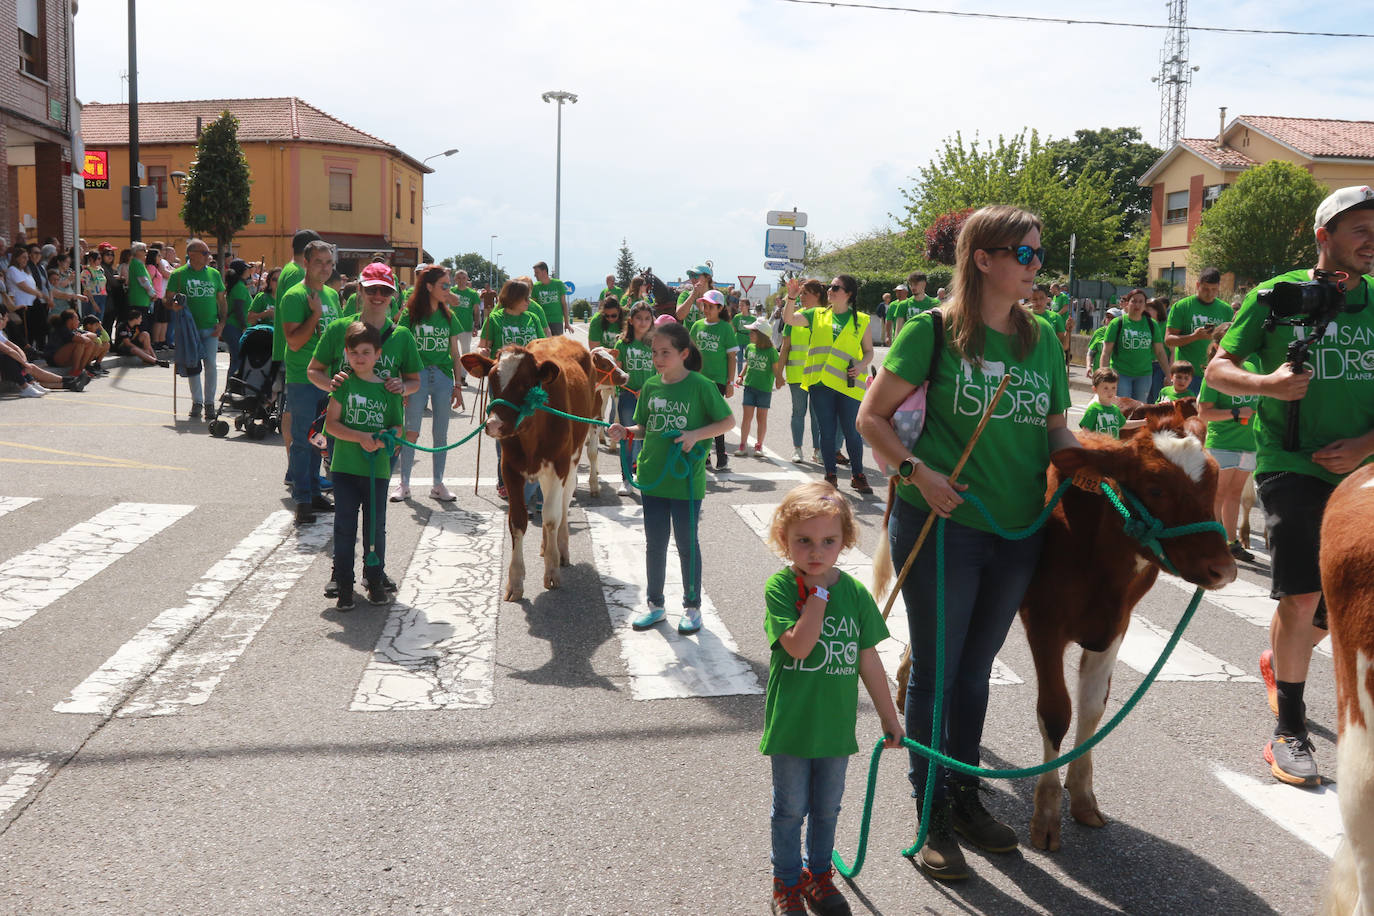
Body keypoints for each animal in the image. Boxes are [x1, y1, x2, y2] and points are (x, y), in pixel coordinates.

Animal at [458, 336, 599, 601]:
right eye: (492, 379)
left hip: (573, 460)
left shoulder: (559, 466)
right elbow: (517, 521)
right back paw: (546, 546)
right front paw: (514, 581)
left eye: (525, 383)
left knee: (563, 502)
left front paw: (552, 571)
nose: (494, 424)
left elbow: (552, 517)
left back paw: (561, 548)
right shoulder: (510, 469)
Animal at [879, 409, 1236, 851]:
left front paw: (1082, 794)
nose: (1223, 569)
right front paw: (1047, 813)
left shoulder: (1115, 626)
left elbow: (1093, 708)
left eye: (1215, 481)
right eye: (1155, 487)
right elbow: (1056, 711)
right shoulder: (1045, 623)